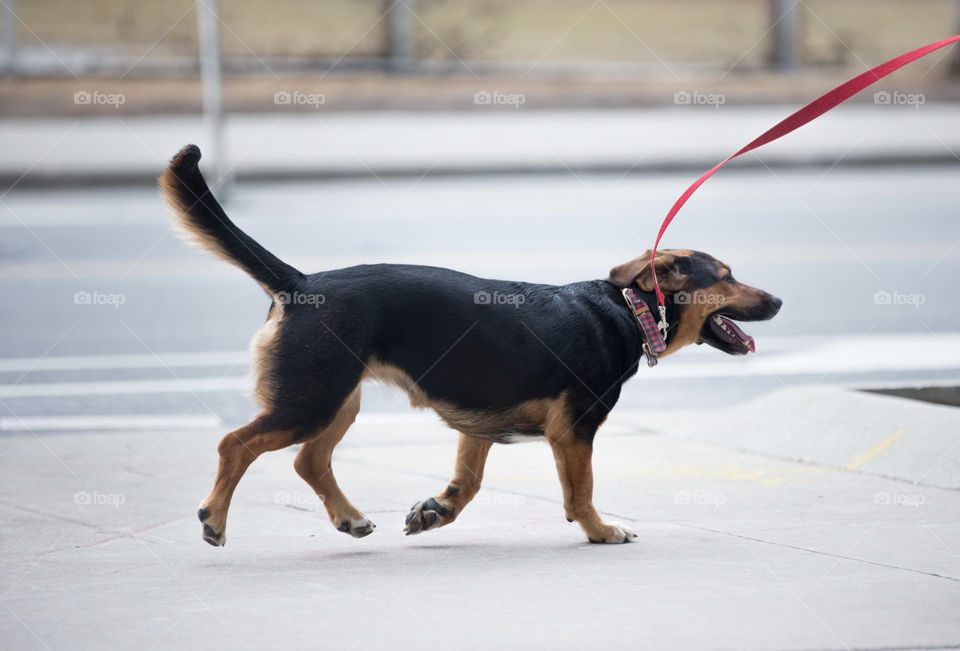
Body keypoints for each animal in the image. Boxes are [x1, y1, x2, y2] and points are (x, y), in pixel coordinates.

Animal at [161, 145, 784, 548]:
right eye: (726, 276)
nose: (778, 301)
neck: (629, 309)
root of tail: (301, 281)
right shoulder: (574, 432)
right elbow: (579, 493)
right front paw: (601, 531)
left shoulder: (478, 423)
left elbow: (469, 482)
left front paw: (435, 512)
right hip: (311, 400)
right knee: (235, 444)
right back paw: (215, 519)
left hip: (338, 397)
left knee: (309, 460)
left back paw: (350, 519)